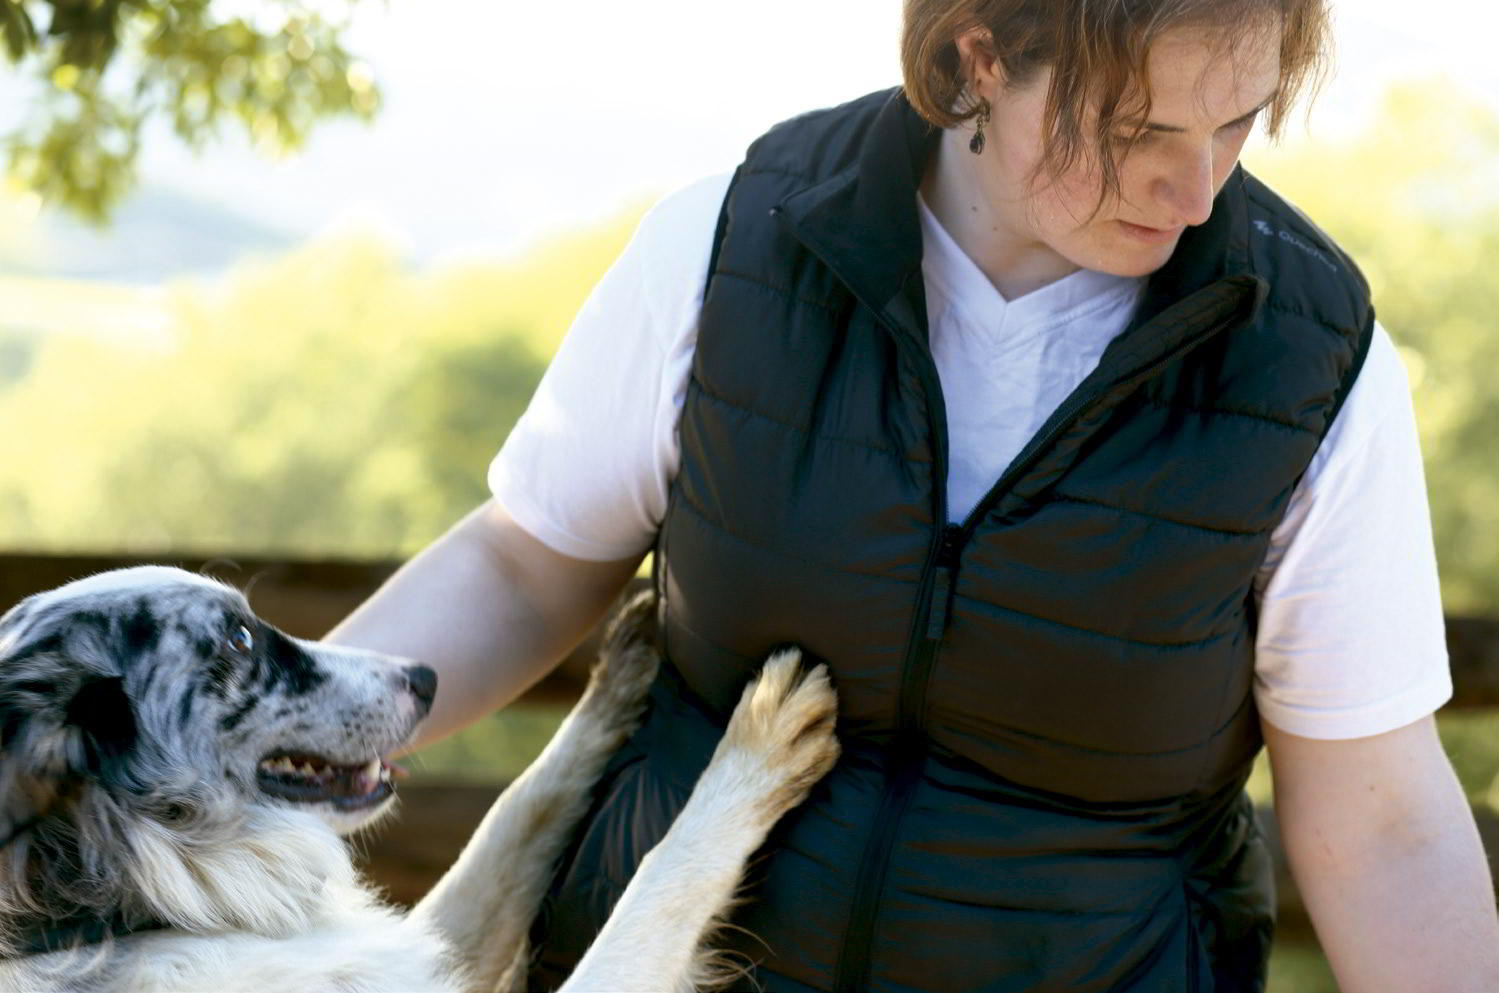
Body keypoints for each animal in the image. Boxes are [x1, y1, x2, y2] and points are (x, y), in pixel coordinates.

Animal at [0, 567, 839, 993]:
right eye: (239, 636)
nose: (427, 677)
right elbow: (658, 882)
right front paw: (758, 744)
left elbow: (519, 811)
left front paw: (623, 664)